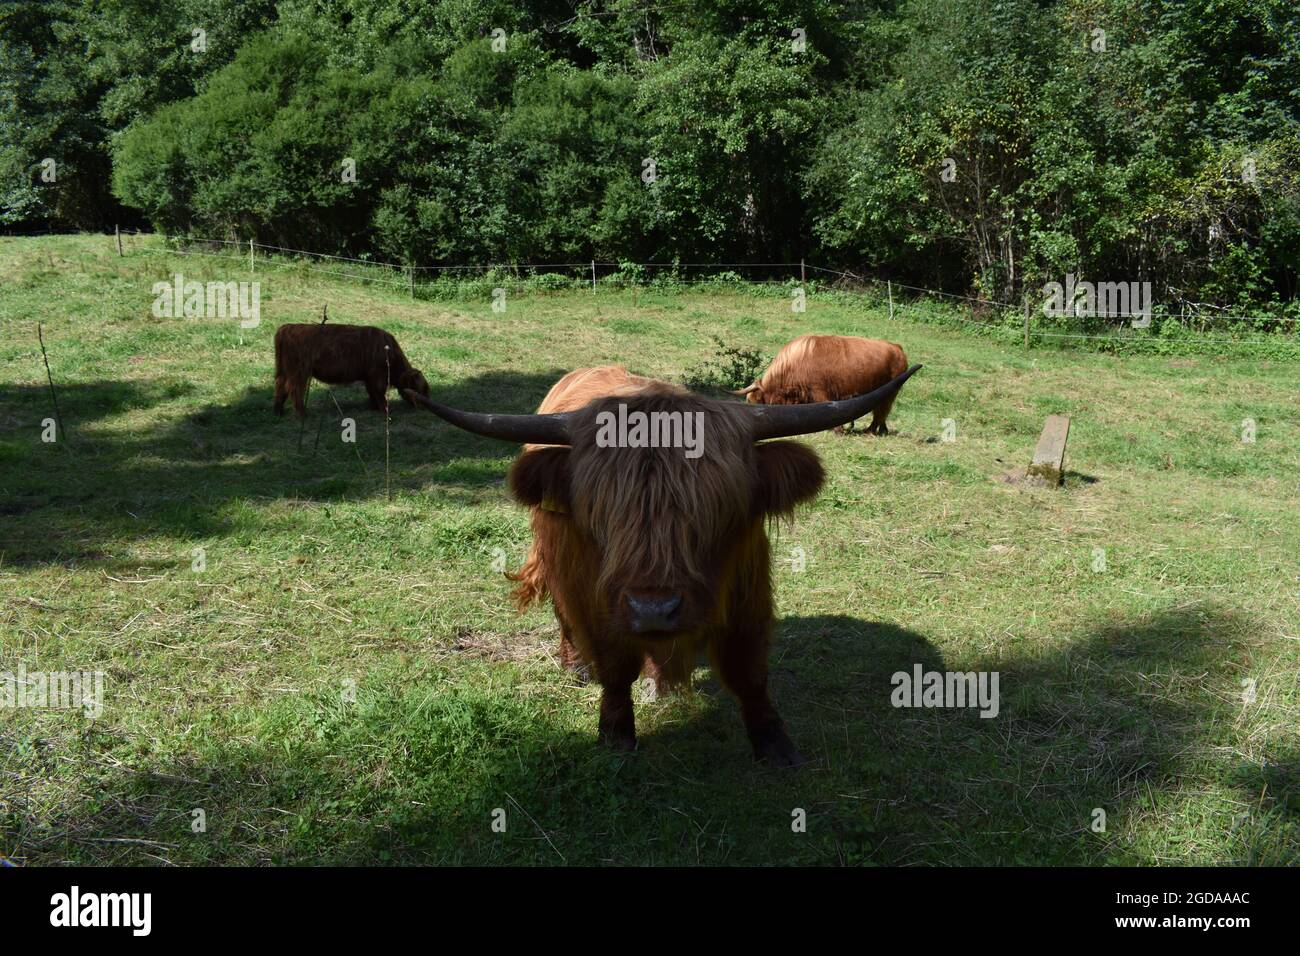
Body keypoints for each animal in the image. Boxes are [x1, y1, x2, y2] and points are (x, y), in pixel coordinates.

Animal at [273, 323, 429, 416]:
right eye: (420, 389)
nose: (425, 407)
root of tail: (287, 327)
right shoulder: (377, 375)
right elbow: (379, 392)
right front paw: (385, 410)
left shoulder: (369, 377)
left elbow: (372, 392)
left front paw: (375, 407)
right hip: (299, 372)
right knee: (295, 389)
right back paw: (302, 413)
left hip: (284, 370)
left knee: (280, 386)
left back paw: (279, 411)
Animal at [404, 362, 921, 766]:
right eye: (602, 514)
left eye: (718, 509)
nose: (654, 610)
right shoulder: (599, 600)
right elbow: (614, 666)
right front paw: (616, 732)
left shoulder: (748, 591)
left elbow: (749, 670)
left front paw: (775, 745)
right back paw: (578, 665)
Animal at [737, 334, 910, 435]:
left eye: (753, 402)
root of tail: (896, 347)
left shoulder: (819, 390)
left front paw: (839, 430)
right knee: (881, 412)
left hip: (889, 392)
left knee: (881, 411)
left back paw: (870, 431)